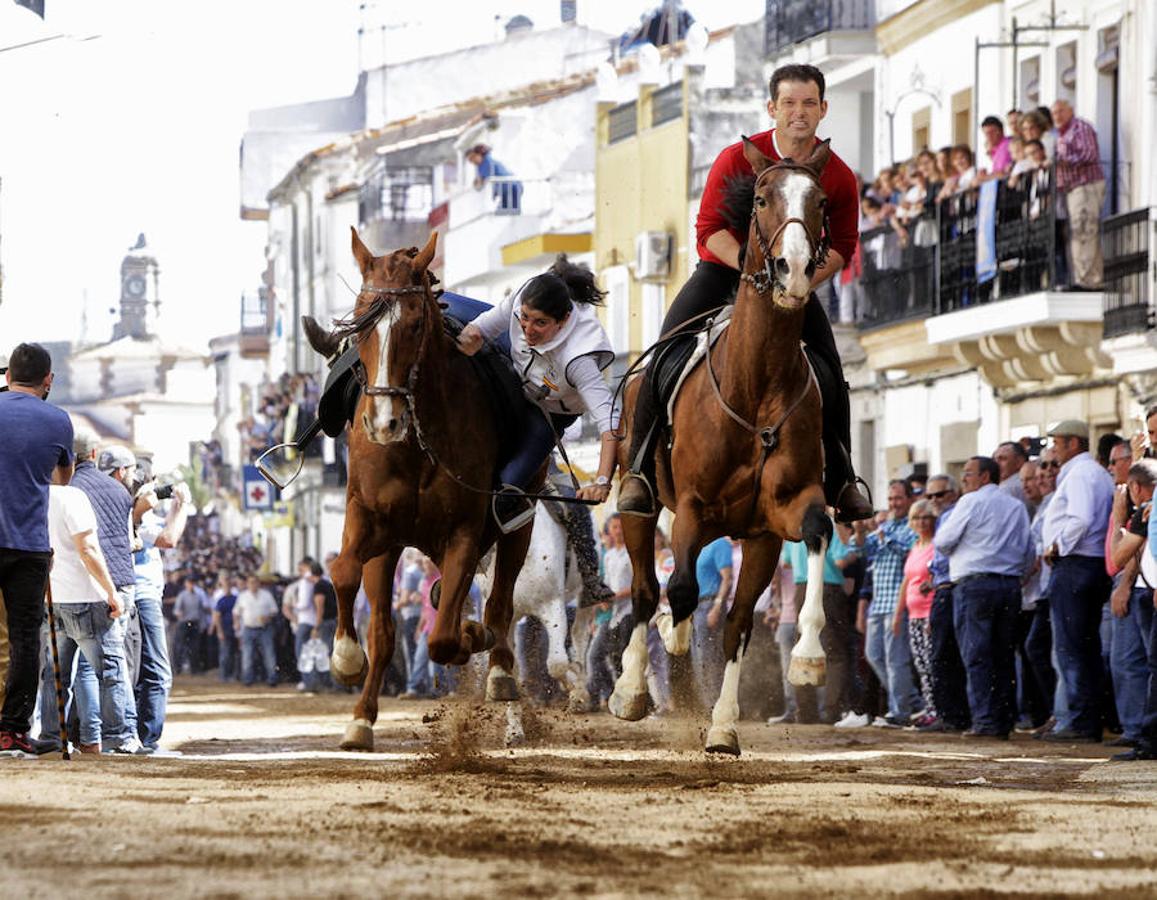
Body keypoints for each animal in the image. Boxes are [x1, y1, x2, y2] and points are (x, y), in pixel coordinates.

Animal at [328, 227, 534, 744]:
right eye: (359, 324)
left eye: (416, 324)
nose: (384, 422)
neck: (417, 444)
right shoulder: (369, 520)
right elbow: (343, 572)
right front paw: (346, 659)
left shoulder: (464, 531)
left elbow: (443, 637)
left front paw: (469, 637)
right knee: (385, 630)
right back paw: (362, 717)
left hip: (517, 526)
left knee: (499, 605)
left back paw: (499, 671)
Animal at [615, 139, 833, 754]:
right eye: (759, 198)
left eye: (822, 202)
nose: (794, 269)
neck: (755, 387)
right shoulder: (692, 506)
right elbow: (681, 588)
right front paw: (671, 642)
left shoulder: (777, 518)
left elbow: (813, 538)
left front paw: (803, 659)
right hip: (640, 505)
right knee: (646, 589)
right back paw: (632, 687)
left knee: (720, 611)